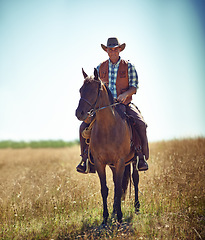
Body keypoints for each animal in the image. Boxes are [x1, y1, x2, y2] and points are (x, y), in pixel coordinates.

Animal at [75, 68, 141, 225]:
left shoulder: (120, 161)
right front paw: (105, 217)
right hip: (112, 165)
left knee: (135, 179)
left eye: (94, 91)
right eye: (80, 90)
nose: (79, 113)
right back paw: (114, 210)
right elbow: (105, 189)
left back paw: (136, 208)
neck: (108, 129)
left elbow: (118, 188)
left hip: (134, 160)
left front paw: (120, 217)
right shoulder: (100, 162)